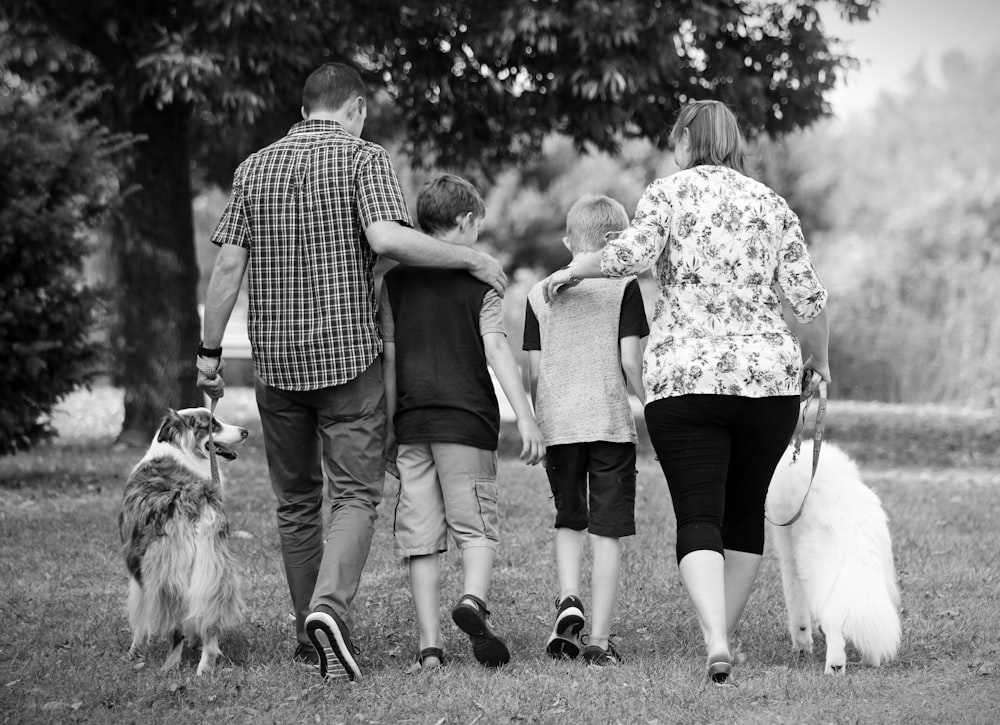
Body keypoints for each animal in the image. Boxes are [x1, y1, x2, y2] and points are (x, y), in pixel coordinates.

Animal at [119, 408, 250, 672]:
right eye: (212, 425)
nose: (245, 432)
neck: (180, 451)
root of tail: (194, 496)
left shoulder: (138, 570)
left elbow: (140, 620)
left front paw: (134, 653)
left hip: (168, 575)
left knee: (176, 629)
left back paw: (170, 667)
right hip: (213, 565)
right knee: (209, 620)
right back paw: (204, 668)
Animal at [768, 442, 904, 672]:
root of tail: (855, 524)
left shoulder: (791, 559)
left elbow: (798, 611)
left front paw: (802, 647)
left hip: (817, 574)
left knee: (832, 623)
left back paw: (834, 667)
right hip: (877, 578)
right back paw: (869, 661)